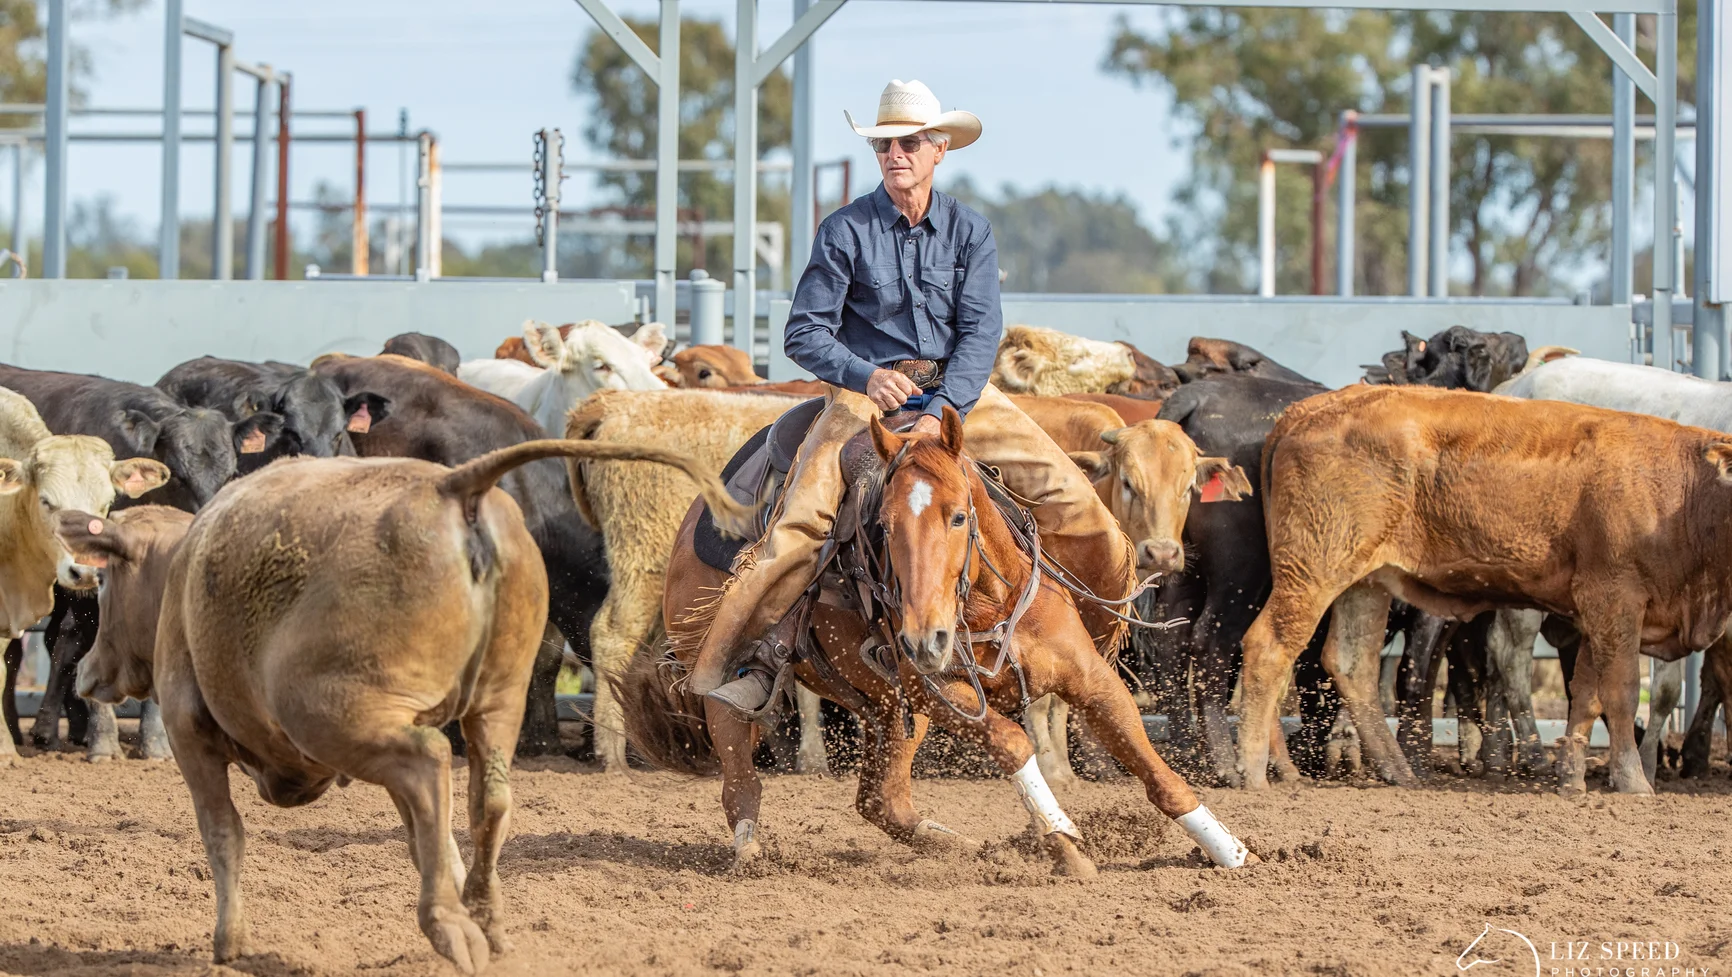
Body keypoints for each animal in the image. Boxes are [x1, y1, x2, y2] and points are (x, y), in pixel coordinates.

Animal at [65, 438, 748, 973]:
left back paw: (447, 924)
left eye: (105, 579)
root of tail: (452, 487)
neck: (183, 573)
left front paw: (228, 943)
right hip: (492, 702)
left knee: (428, 764)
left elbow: (223, 832)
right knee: (483, 798)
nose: (84, 673)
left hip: (337, 715)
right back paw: (483, 918)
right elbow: (429, 834)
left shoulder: (191, 735)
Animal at [618, 405, 1254, 876]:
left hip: (889, 707)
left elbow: (1156, 772)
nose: (926, 639)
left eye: (957, 516)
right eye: (884, 525)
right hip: (735, 673)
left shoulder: (1091, 680)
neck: (988, 604)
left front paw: (1230, 850)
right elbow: (1014, 745)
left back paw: (963, 848)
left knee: (882, 802)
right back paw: (753, 854)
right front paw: (1065, 843)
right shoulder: (942, 693)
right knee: (740, 780)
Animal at [1239, 384, 1732, 795]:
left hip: (1365, 582)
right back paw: (1252, 770)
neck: (1683, 492)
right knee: (1270, 646)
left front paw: (1571, 779)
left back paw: (1398, 771)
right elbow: (1621, 692)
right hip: (1313, 570)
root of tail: (1312, 408)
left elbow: (1586, 695)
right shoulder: (1615, 599)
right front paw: (1632, 781)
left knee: (1351, 662)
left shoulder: (1598, 613)